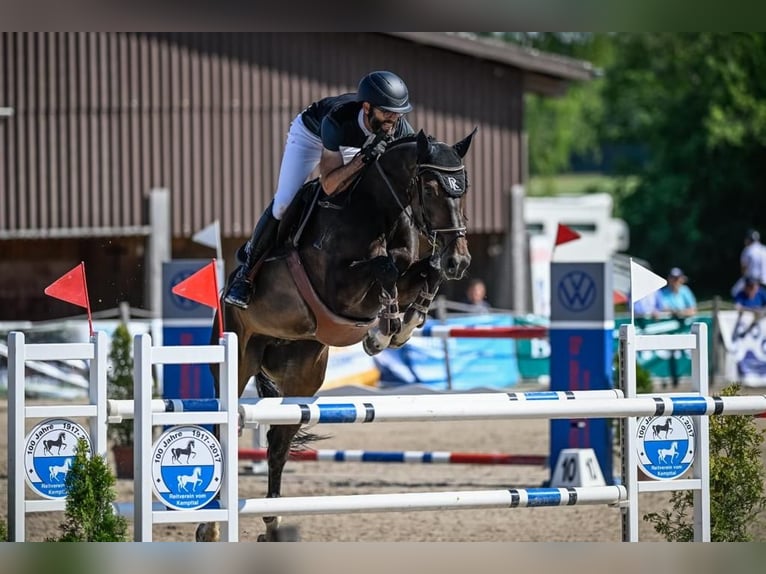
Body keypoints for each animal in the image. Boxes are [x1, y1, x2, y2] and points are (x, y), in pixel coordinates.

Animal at [198, 129, 474, 544]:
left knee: (278, 445)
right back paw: (211, 526)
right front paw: (383, 332)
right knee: (222, 429)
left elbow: (426, 270)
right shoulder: (339, 288)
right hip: (239, 356)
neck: (377, 210)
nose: (460, 260)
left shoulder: (408, 269)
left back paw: (273, 524)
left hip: (301, 380)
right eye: (429, 187)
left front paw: (405, 324)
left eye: (463, 188)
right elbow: (386, 267)